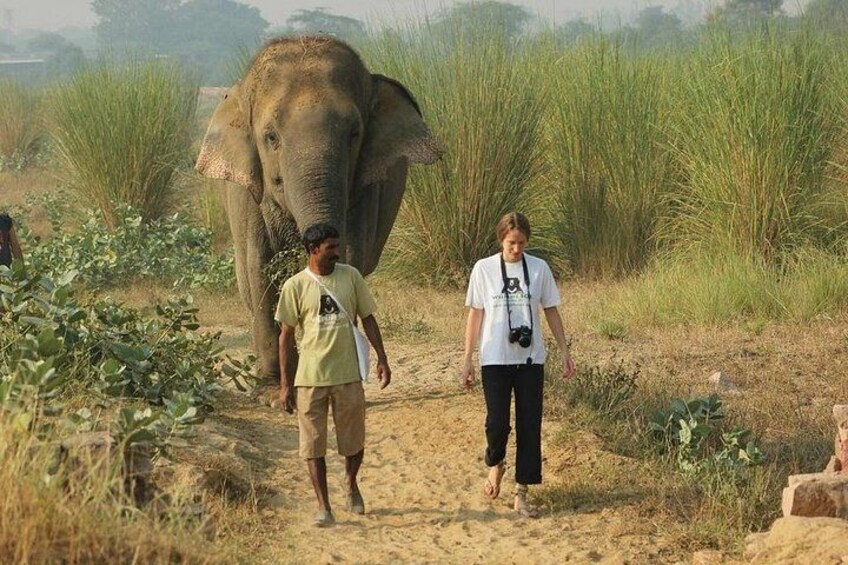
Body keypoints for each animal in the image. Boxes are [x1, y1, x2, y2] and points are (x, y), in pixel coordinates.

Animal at [195, 36, 442, 387]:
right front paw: (274, 386)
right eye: (270, 137)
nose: (313, 239)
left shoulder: (364, 190)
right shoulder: (249, 197)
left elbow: (350, 258)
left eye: (354, 134)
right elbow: (261, 267)